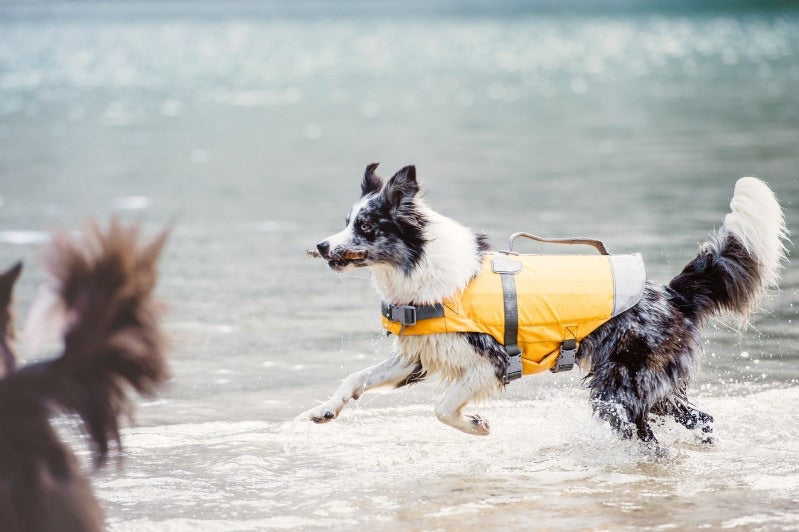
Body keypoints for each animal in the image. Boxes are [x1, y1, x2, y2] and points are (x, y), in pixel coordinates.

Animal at [304, 165, 788, 444]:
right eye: (346, 222)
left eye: (366, 226)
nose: (322, 246)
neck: (421, 267)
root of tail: (670, 294)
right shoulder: (420, 355)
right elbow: (355, 378)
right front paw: (325, 409)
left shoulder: (490, 363)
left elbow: (442, 409)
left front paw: (475, 424)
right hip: (656, 390)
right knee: (702, 420)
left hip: (618, 393)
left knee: (650, 440)